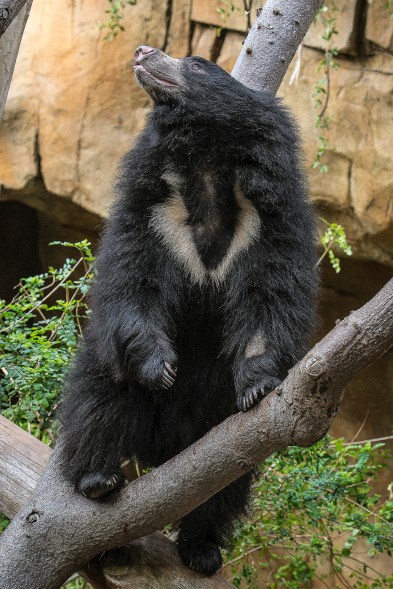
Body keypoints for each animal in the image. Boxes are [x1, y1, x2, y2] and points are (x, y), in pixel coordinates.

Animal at [59, 44, 318, 576]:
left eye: (198, 64)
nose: (143, 50)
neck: (205, 164)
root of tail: (165, 449)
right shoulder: (151, 209)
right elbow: (134, 280)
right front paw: (160, 367)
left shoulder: (272, 217)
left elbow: (271, 295)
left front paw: (259, 384)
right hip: (115, 392)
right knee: (98, 397)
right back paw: (96, 478)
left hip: (217, 426)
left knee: (227, 484)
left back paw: (202, 549)